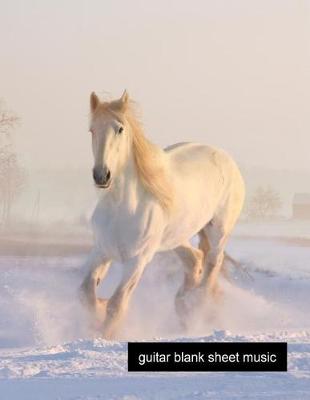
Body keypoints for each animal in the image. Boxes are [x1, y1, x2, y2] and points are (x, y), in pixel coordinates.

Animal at [80, 90, 245, 338]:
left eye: (120, 129)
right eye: (92, 130)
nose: (102, 175)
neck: (122, 208)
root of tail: (225, 158)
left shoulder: (137, 260)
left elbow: (116, 304)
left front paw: (105, 335)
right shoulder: (101, 251)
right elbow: (86, 293)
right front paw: (97, 312)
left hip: (218, 231)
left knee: (212, 264)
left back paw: (196, 306)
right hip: (176, 237)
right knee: (195, 259)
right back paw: (183, 305)